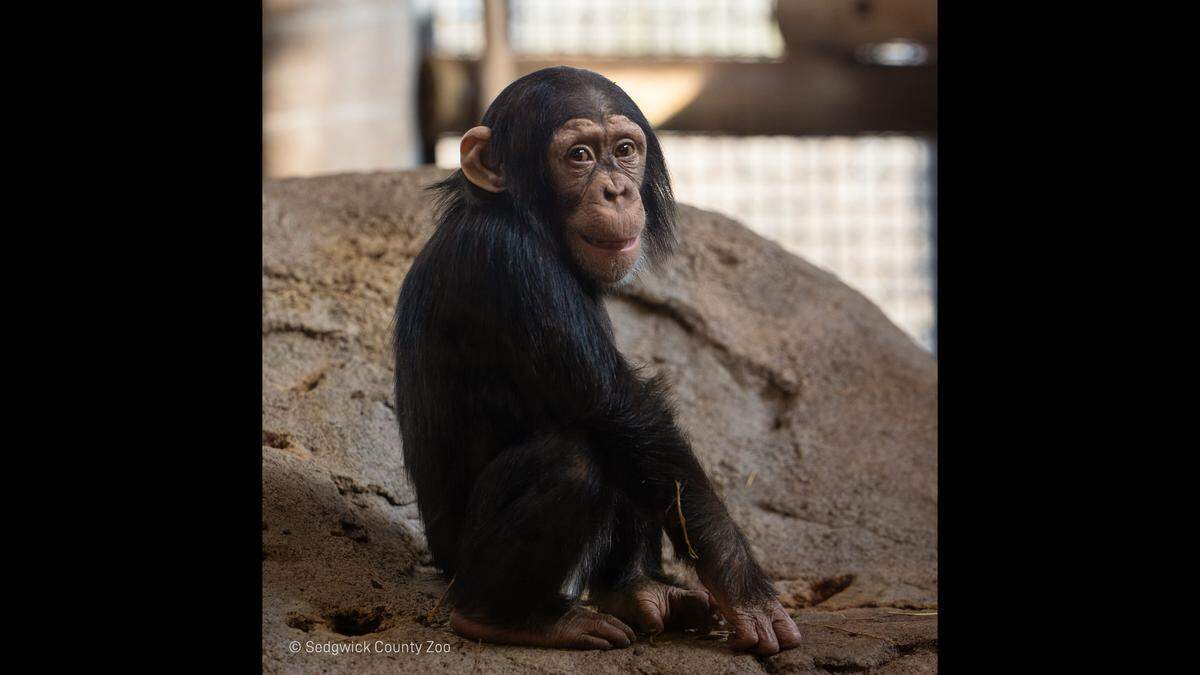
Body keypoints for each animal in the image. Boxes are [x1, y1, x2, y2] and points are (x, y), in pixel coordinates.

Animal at [392, 66, 801, 654]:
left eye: (625, 150)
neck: (522, 220)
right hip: (459, 566)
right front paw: (744, 587)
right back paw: (507, 618)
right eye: (580, 156)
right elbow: (614, 405)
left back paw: (634, 590)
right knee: (576, 460)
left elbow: (638, 429)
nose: (617, 189)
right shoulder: (514, 266)